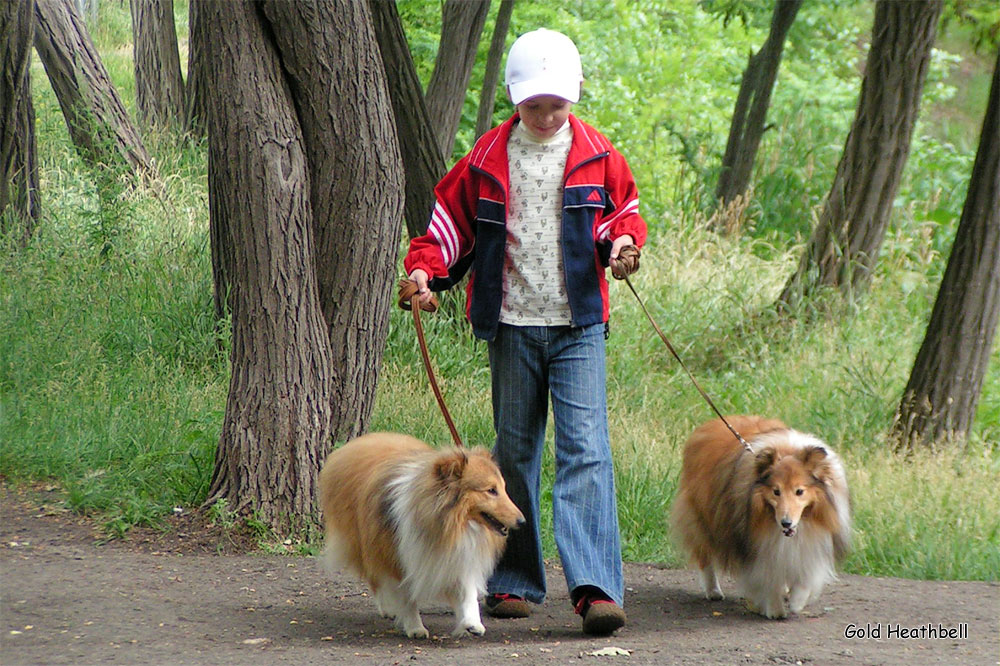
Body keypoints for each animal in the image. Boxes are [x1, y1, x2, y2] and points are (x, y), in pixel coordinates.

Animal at [320, 434, 528, 636]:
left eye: (503, 488)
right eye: (491, 490)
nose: (522, 521)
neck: (450, 524)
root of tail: (354, 445)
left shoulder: (460, 555)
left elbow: (467, 592)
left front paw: (471, 623)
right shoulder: (399, 557)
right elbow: (407, 597)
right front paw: (415, 628)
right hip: (366, 541)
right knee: (374, 577)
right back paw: (388, 608)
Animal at [672, 416, 852, 616]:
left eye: (799, 491)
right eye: (776, 491)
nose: (786, 523)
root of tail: (708, 424)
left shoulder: (813, 540)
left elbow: (805, 576)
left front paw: (796, 601)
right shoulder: (755, 545)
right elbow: (766, 578)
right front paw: (774, 610)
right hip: (702, 520)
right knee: (705, 556)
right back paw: (713, 591)